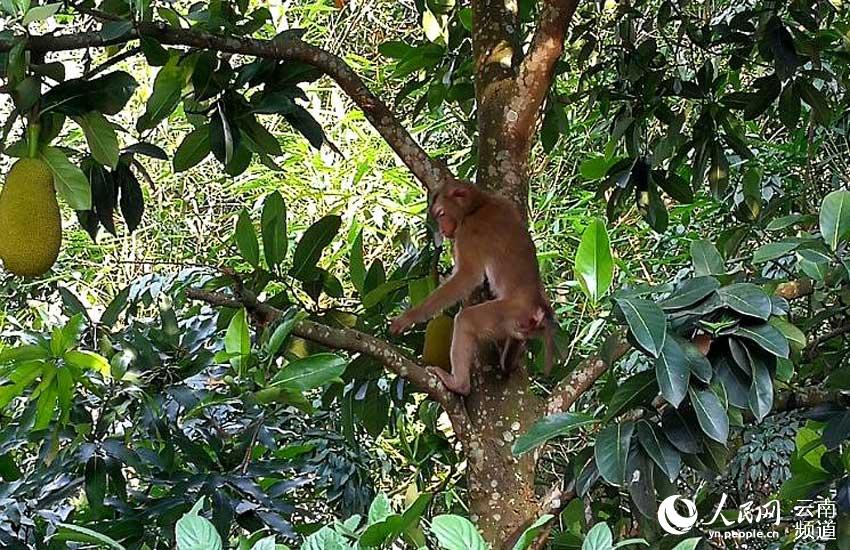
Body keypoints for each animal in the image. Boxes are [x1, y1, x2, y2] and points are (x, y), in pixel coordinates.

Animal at [390, 179, 556, 394]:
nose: (442, 230)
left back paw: (458, 384)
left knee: (466, 320)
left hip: (509, 313)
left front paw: (410, 317)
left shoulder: (467, 231)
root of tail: (536, 304)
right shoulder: (504, 203)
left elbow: (467, 276)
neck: (479, 205)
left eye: (441, 214)